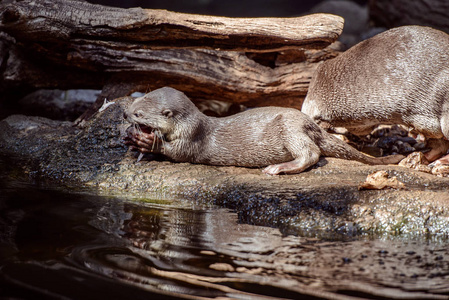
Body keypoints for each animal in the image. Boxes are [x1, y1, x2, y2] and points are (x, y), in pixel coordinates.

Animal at [122, 86, 402, 175]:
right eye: (137, 99)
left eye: (139, 113)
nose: (125, 114)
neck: (194, 124)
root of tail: (311, 123)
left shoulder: (192, 138)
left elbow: (177, 152)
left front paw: (146, 141)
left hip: (290, 127)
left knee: (311, 153)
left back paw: (278, 168)